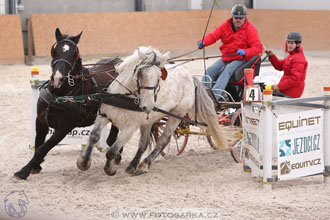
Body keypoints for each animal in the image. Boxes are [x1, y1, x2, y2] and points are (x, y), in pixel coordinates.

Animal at [14, 27, 120, 180]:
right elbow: (38, 143)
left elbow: (43, 148)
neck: (59, 96)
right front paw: (35, 166)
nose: (58, 78)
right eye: (55, 50)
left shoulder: (64, 128)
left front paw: (23, 171)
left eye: (73, 53)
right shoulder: (40, 121)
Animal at [77, 46, 235, 175]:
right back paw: (133, 166)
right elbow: (94, 136)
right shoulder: (103, 115)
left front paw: (110, 169)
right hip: (149, 120)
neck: (123, 96)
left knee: (163, 140)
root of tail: (191, 77)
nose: (148, 105)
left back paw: (144, 165)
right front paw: (83, 162)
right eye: (140, 73)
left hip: (176, 115)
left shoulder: (129, 128)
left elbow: (112, 150)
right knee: (143, 143)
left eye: (159, 76)